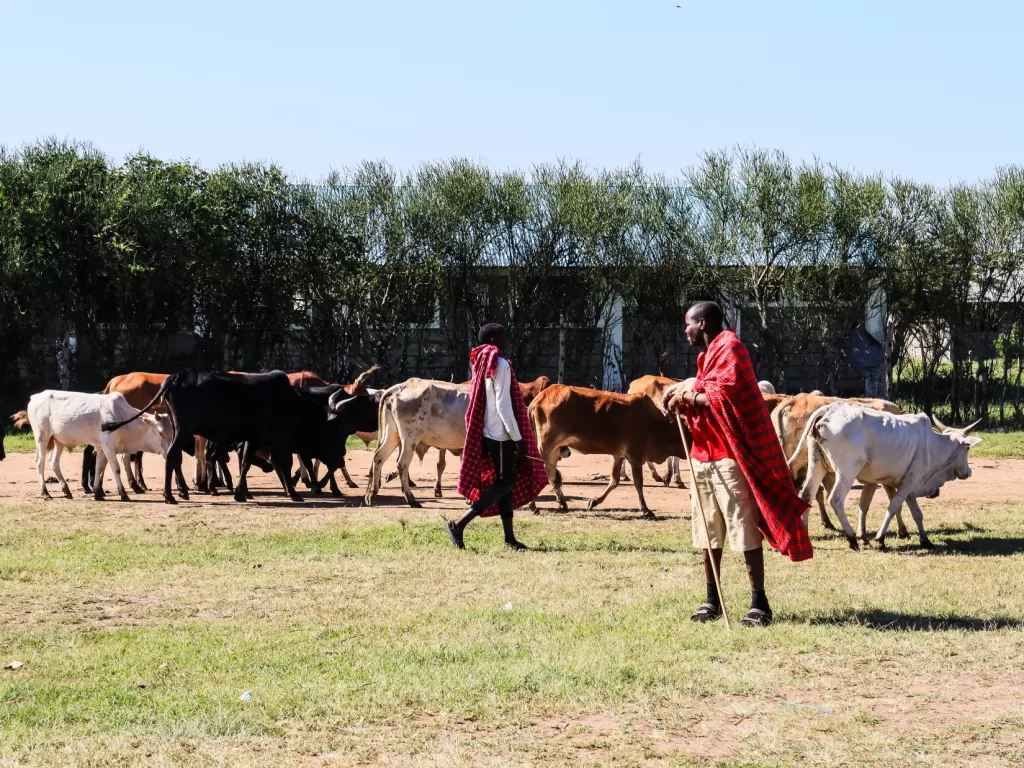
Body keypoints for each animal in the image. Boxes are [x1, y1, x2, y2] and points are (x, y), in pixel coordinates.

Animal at [14, 391, 173, 505]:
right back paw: (45, 493)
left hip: (58, 441)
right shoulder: (109, 447)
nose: (169, 453)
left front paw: (97, 492)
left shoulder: (101, 448)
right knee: (39, 462)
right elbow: (116, 469)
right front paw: (123, 494)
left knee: (54, 462)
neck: (123, 419)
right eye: (160, 433)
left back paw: (66, 490)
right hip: (42, 438)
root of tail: (35, 397)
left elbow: (99, 468)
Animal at [528, 387, 688, 520]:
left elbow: (614, 481)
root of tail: (538, 399)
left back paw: (561, 503)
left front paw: (594, 502)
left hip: (554, 450)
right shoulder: (635, 457)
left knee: (551, 474)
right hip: (546, 447)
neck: (653, 422)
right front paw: (646, 510)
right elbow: (638, 483)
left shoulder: (618, 456)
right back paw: (534, 505)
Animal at [786, 405, 978, 548]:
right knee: (835, 499)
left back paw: (806, 535)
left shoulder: (900, 483)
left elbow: (914, 512)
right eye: (968, 448)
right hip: (847, 470)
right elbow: (893, 507)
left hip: (817, 464)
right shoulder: (910, 480)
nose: (969, 472)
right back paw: (851, 538)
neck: (932, 446)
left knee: (806, 495)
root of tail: (827, 410)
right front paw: (879, 539)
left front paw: (925, 540)